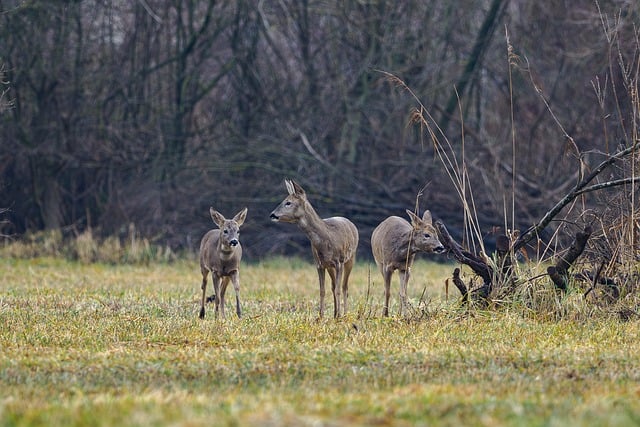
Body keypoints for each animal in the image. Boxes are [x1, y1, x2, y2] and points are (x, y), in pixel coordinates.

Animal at [270, 179, 359, 318]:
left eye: (288, 202)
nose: (272, 215)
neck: (326, 238)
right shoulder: (319, 264)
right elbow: (322, 290)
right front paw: (321, 316)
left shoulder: (339, 262)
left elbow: (338, 290)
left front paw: (339, 316)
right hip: (330, 266)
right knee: (333, 286)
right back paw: (335, 313)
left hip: (350, 258)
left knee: (344, 287)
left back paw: (343, 313)